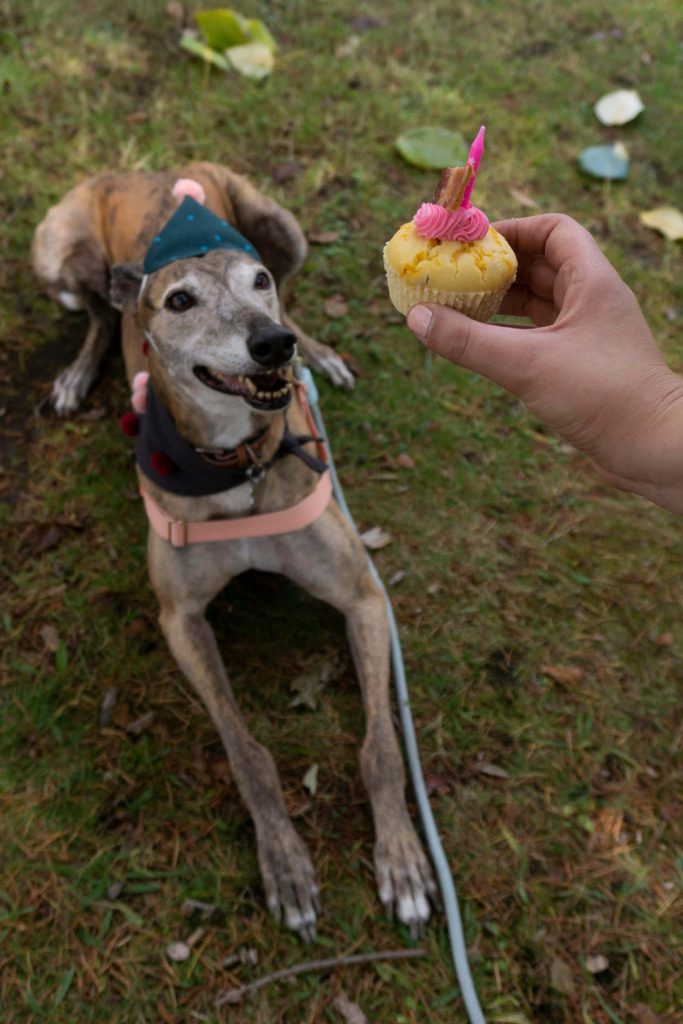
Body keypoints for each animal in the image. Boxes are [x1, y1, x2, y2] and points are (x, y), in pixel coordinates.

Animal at [31, 163, 436, 937]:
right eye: (181, 299)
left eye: (255, 283)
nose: (271, 344)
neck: (236, 464)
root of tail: (150, 168)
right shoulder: (181, 620)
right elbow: (246, 751)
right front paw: (285, 864)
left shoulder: (364, 597)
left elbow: (380, 746)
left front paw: (401, 859)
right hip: (55, 250)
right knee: (98, 311)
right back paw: (75, 374)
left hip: (285, 231)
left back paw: (321, 355)